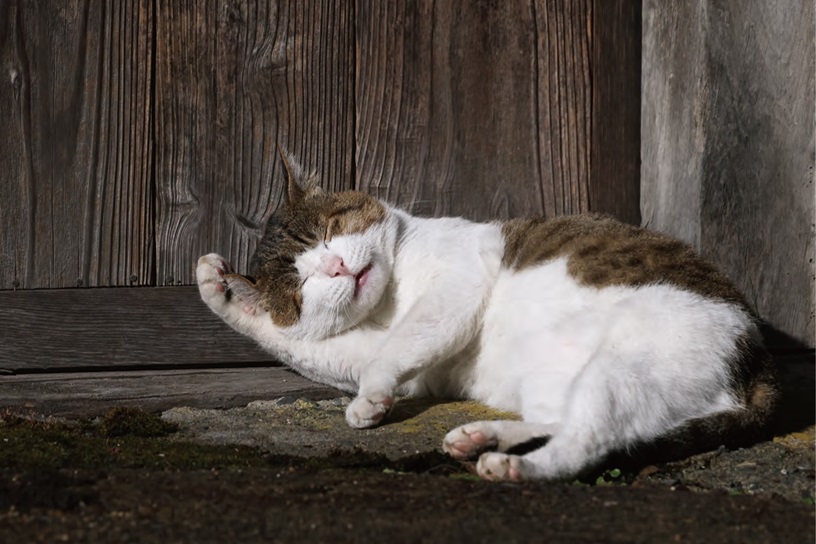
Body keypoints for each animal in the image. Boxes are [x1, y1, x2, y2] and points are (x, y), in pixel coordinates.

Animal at [196, 152, 776, 480]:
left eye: (330, 231)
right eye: (301, 286)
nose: (336, 266)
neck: (391, 300)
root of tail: (754, 359)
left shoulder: (457, 285)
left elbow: (398, 345)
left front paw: (369, 402)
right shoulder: (375, 353)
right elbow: (309, 345)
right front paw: (216, 288)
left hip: (624, 366)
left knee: (592, 441)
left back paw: (513, 466)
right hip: (557, 377)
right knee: (566, 420)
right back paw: (485, 438)